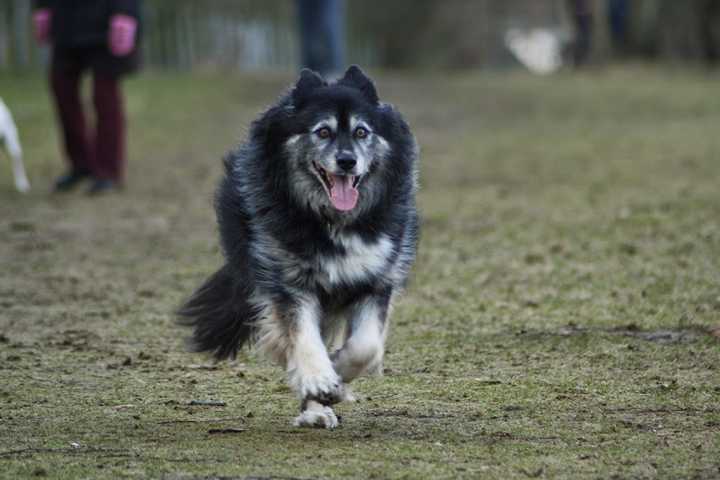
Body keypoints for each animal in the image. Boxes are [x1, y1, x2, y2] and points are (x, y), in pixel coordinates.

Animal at [177, 65, 420, 430]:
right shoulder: (289, 280)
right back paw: (315, 405)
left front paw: (339, 373)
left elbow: (365, 346)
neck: (333, 220)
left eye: (362, 132)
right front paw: (320, 379)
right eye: (323, 132)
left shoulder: (375, 277)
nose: (347, 161)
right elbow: (303, 335)